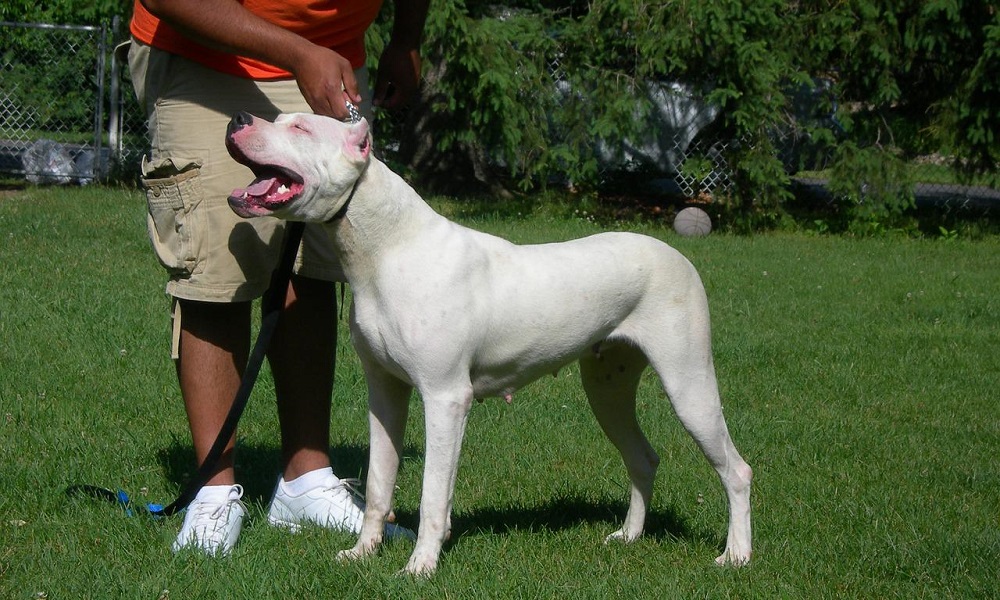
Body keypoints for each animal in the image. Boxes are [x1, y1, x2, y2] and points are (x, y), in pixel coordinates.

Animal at [225, 110, 752, 576]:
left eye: (300, 127)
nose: (238, 119)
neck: (388, 247)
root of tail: (677, 254)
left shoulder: (444, 398)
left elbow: (433, 493)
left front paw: (419, 567)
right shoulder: (385, 393)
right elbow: (378, 482)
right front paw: (363, 553)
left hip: (689, 384)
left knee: (736, 470)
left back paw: (736, 556)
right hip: (607, 388)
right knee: (642, 457)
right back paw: (629, 536)